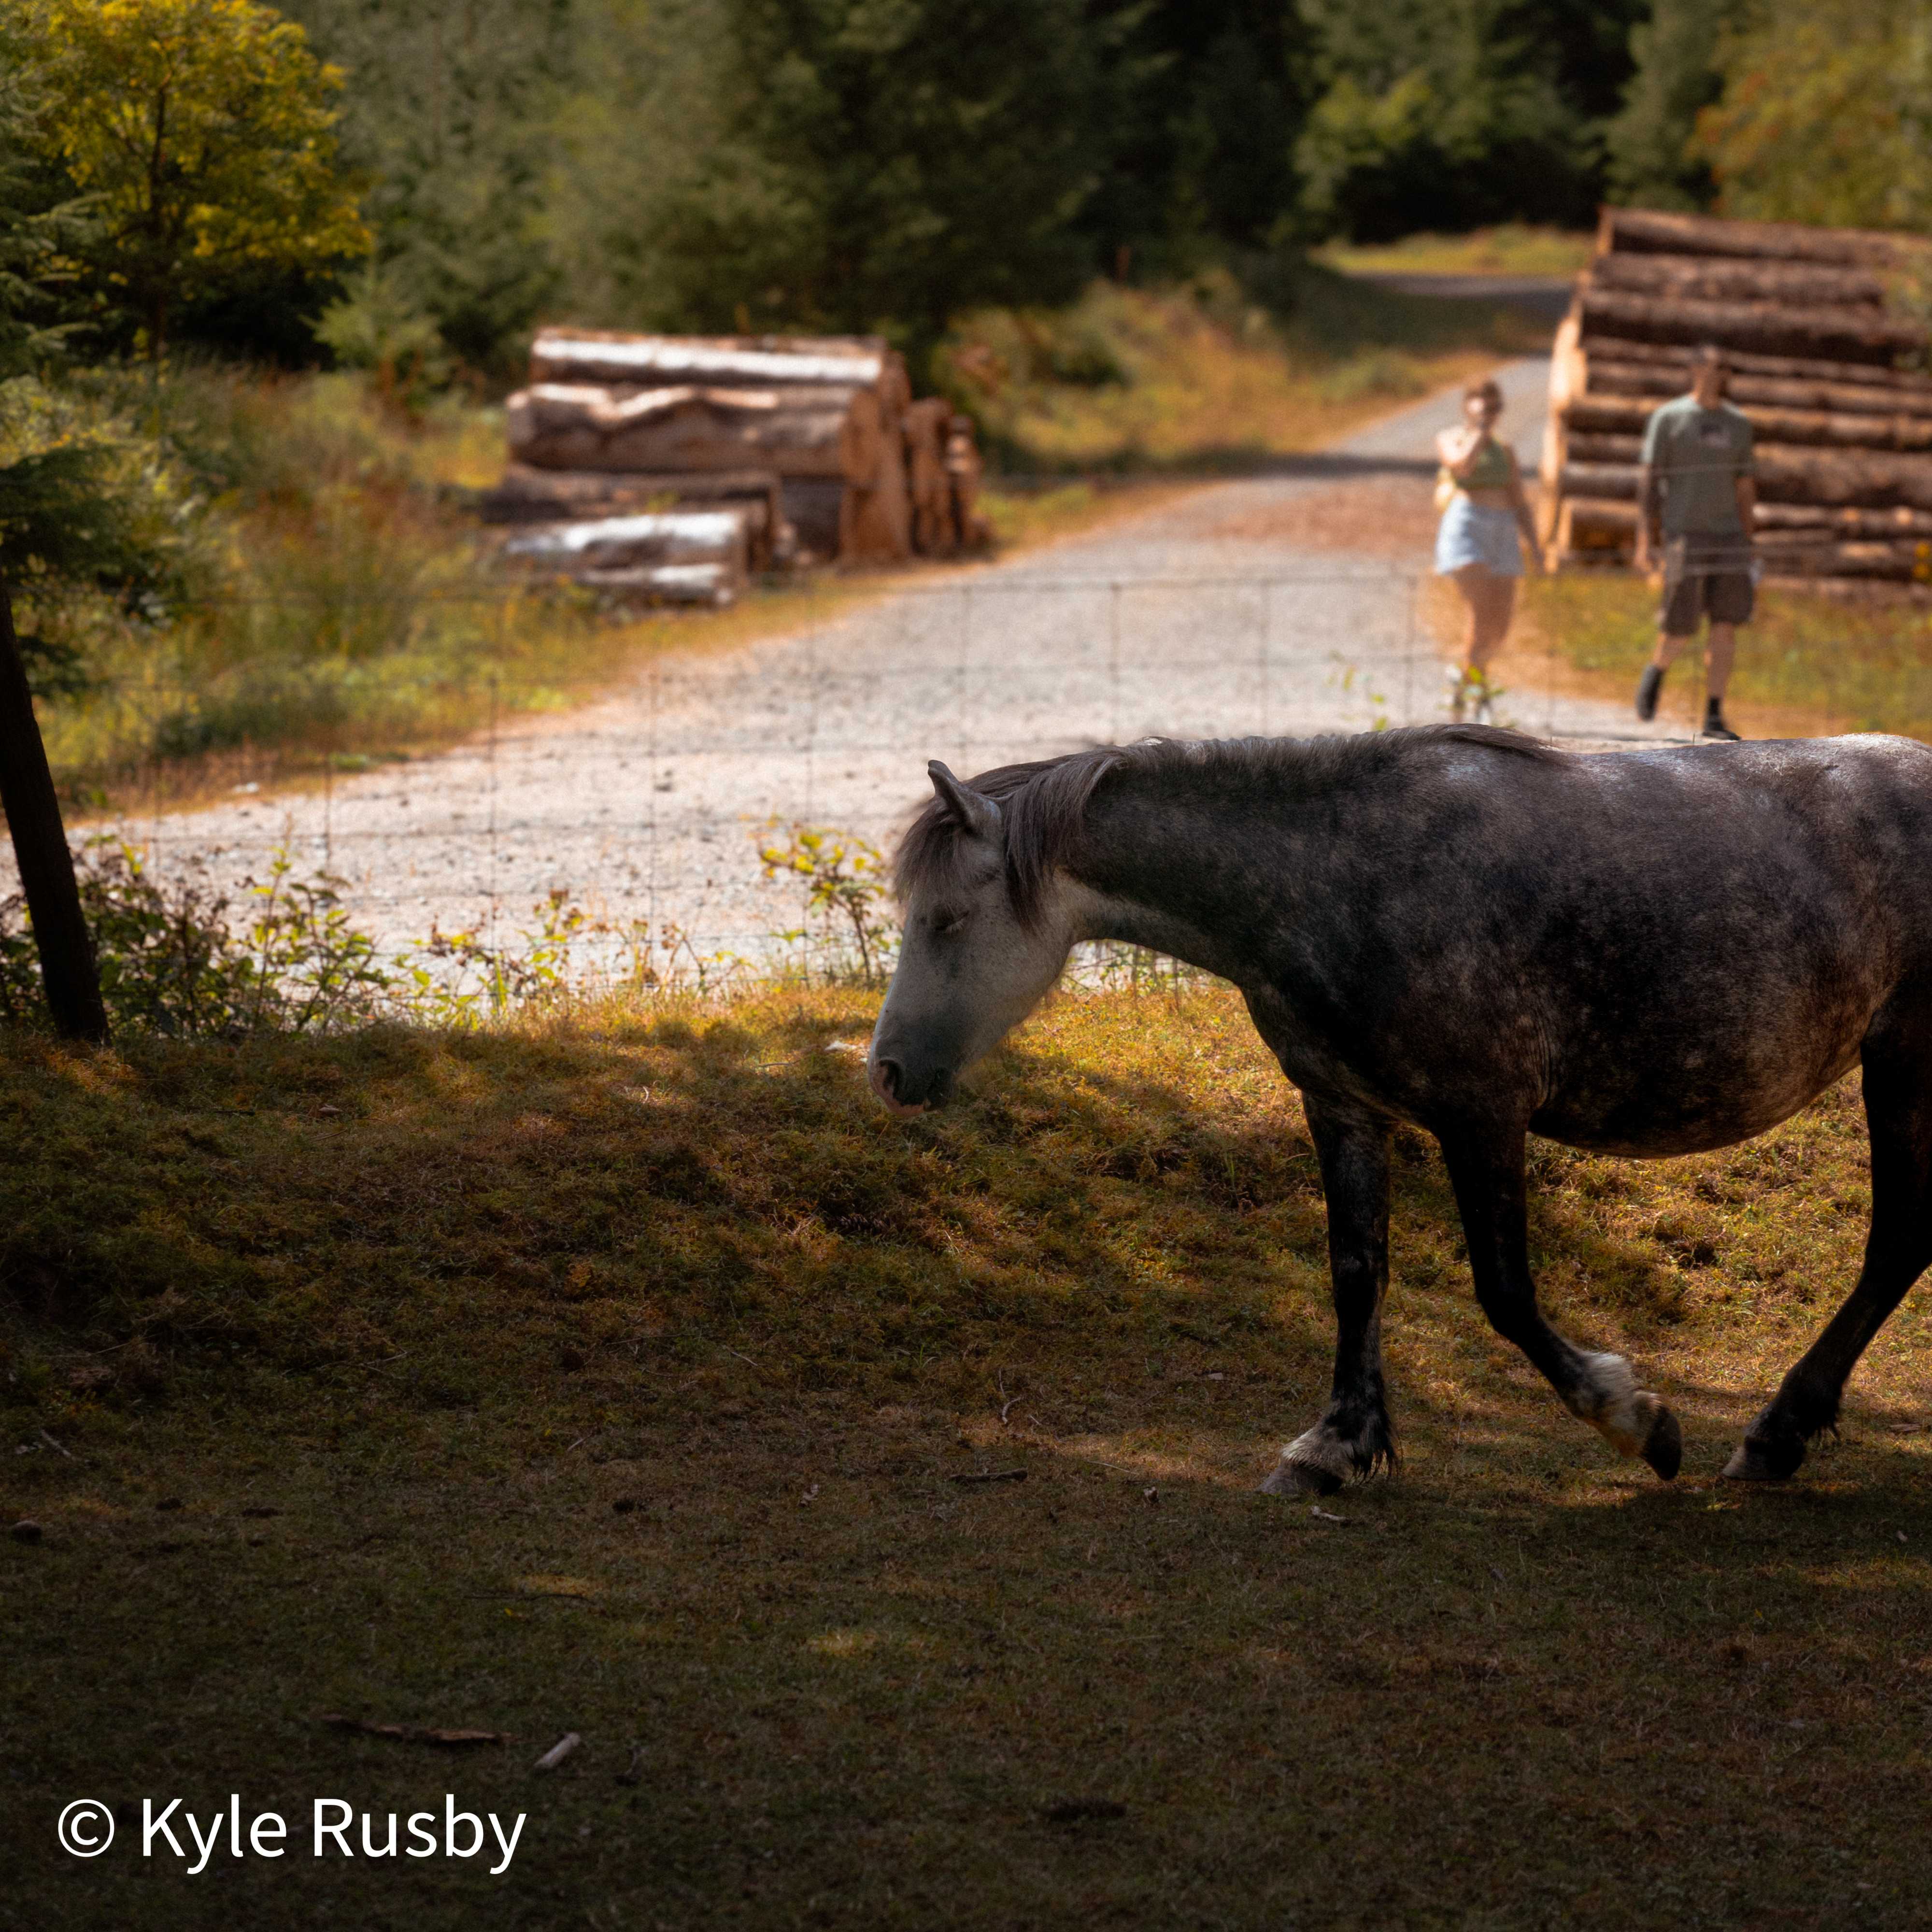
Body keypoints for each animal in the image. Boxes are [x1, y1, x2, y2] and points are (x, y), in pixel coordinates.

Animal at [865, 725, 1932, 1493]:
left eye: (946, 920)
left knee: (1895, 1243)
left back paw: (1774, 1435)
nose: (884, 1072)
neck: (1343, 876)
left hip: (1904, 1063)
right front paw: (1335, 1444)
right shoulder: (1341, 1108)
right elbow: (1355, 1272)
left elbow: (1504, 1293)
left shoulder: (1481, 1116)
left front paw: (1633, 1419)